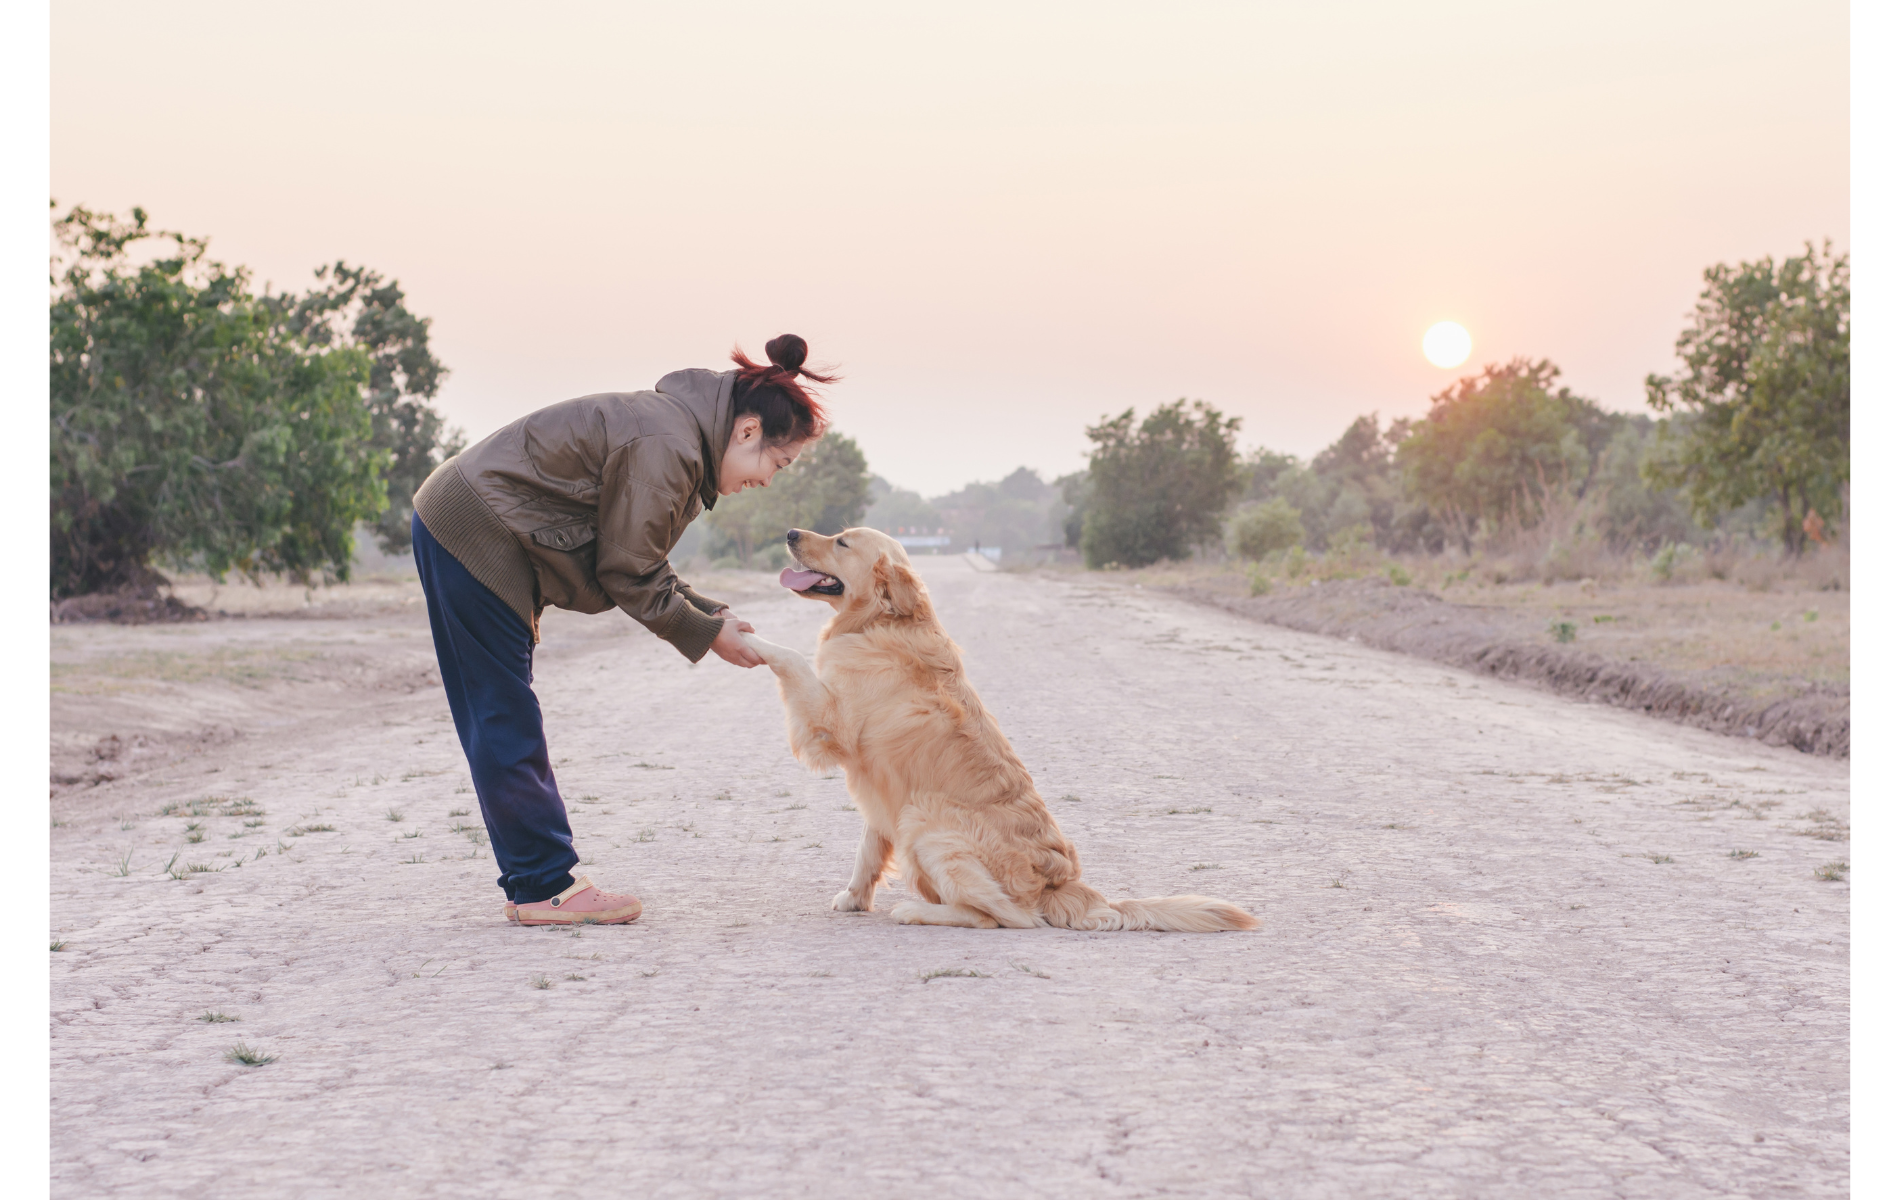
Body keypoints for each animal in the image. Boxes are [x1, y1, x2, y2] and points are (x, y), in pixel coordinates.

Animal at [741, 527, 1261, 934]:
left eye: (842, 541)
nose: (790, 533)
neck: (880, 621)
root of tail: (1061, 884)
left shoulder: (831, 724)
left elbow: (790, 656)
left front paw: (748, 637)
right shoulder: (882, 788)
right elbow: (867, 851)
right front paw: (853, 897)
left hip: (925, 818)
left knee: (1004, 917)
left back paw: (917, 910)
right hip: (912, 814)